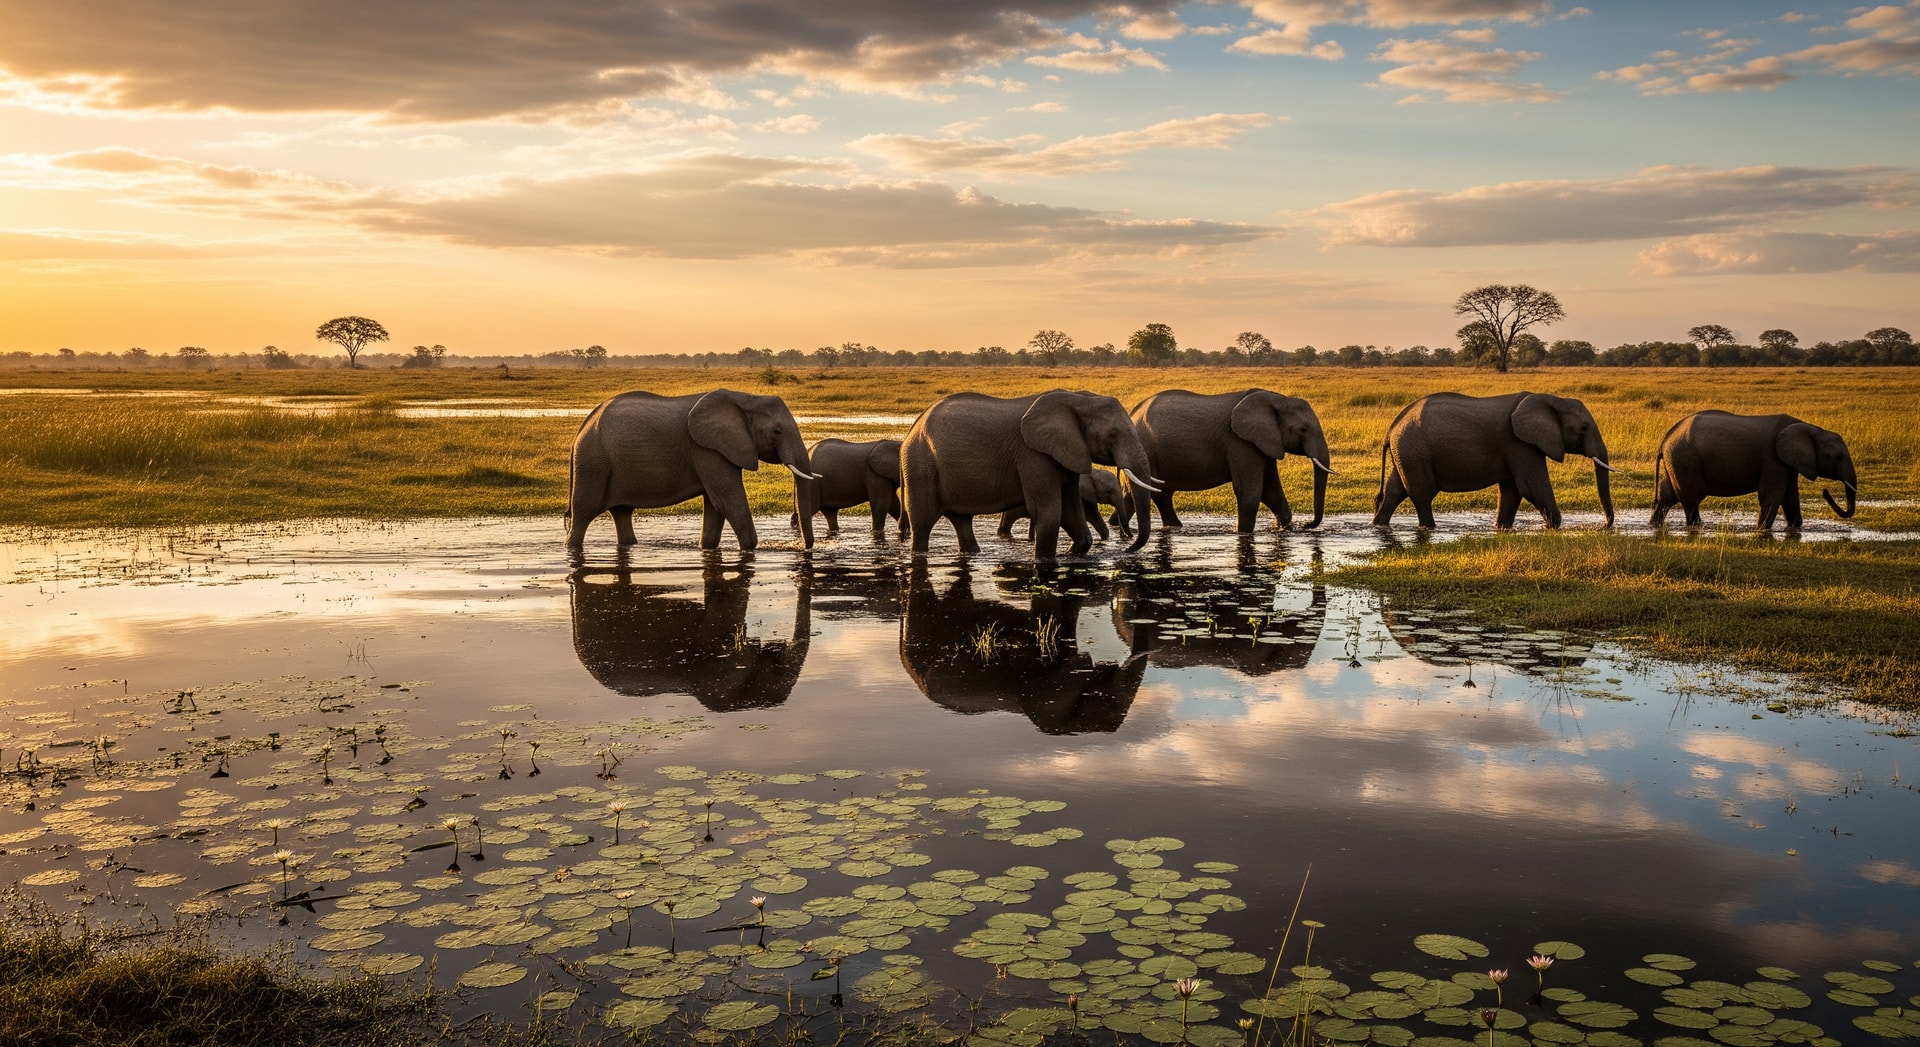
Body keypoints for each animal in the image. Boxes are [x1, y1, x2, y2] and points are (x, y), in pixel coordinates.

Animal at [566, 389, 819, 551]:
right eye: (777, 431)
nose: (803, 549)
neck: (746, 398)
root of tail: (581, 429)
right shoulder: (707, 449)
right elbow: (727, 502)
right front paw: (750, 549)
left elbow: (716, 506)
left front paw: (705, 548)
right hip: (592, 463)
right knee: (583, 513)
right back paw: (572, 548)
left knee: (622, 513)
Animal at [995, 469, 1124, 541]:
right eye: (1108, 491)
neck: (1093, 473)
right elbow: (1087, 515)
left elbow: (1093, 514)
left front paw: (1104, 539)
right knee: (1010, 518)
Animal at [1125, 389, 1335, 533]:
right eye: (1303, 430)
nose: (1306, 525)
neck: (1277, 399)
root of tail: (1133, 413)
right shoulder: (1240, 443)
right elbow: (1250, 492)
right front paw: (1242, 532)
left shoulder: (1264, 442)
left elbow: (1270, 490)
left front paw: (1280, 529)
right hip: (1147, 449)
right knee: (1154, 493)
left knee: (1141, 494)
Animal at [1372, 391, 1617, 529]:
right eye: (1583, 428)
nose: (1604, 526)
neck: (1552, 399)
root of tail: (1391, 428)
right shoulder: (1518, 442)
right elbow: (1532, 488)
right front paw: (1554, 528)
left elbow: (1512, 491)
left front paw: (1501, 528)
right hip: (1415, 451)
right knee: (1422, 494)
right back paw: (1430, 529)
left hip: (1407, 453)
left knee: (1395, 491)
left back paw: (1378, 525)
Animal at [1651, 411, 1857, 531]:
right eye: (1838, 457)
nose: (1825, 492)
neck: (1812, 428)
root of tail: (1665, 440)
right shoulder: (1773, 458)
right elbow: (1772, 495)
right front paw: (1762, 530)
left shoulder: (1788, 463)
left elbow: (1790, 496)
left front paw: (1795, 528)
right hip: (1685, 461)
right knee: (1691, 499)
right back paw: (1696, 527)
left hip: (1677, 462)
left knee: (1667, 496)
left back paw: (1654, 525)